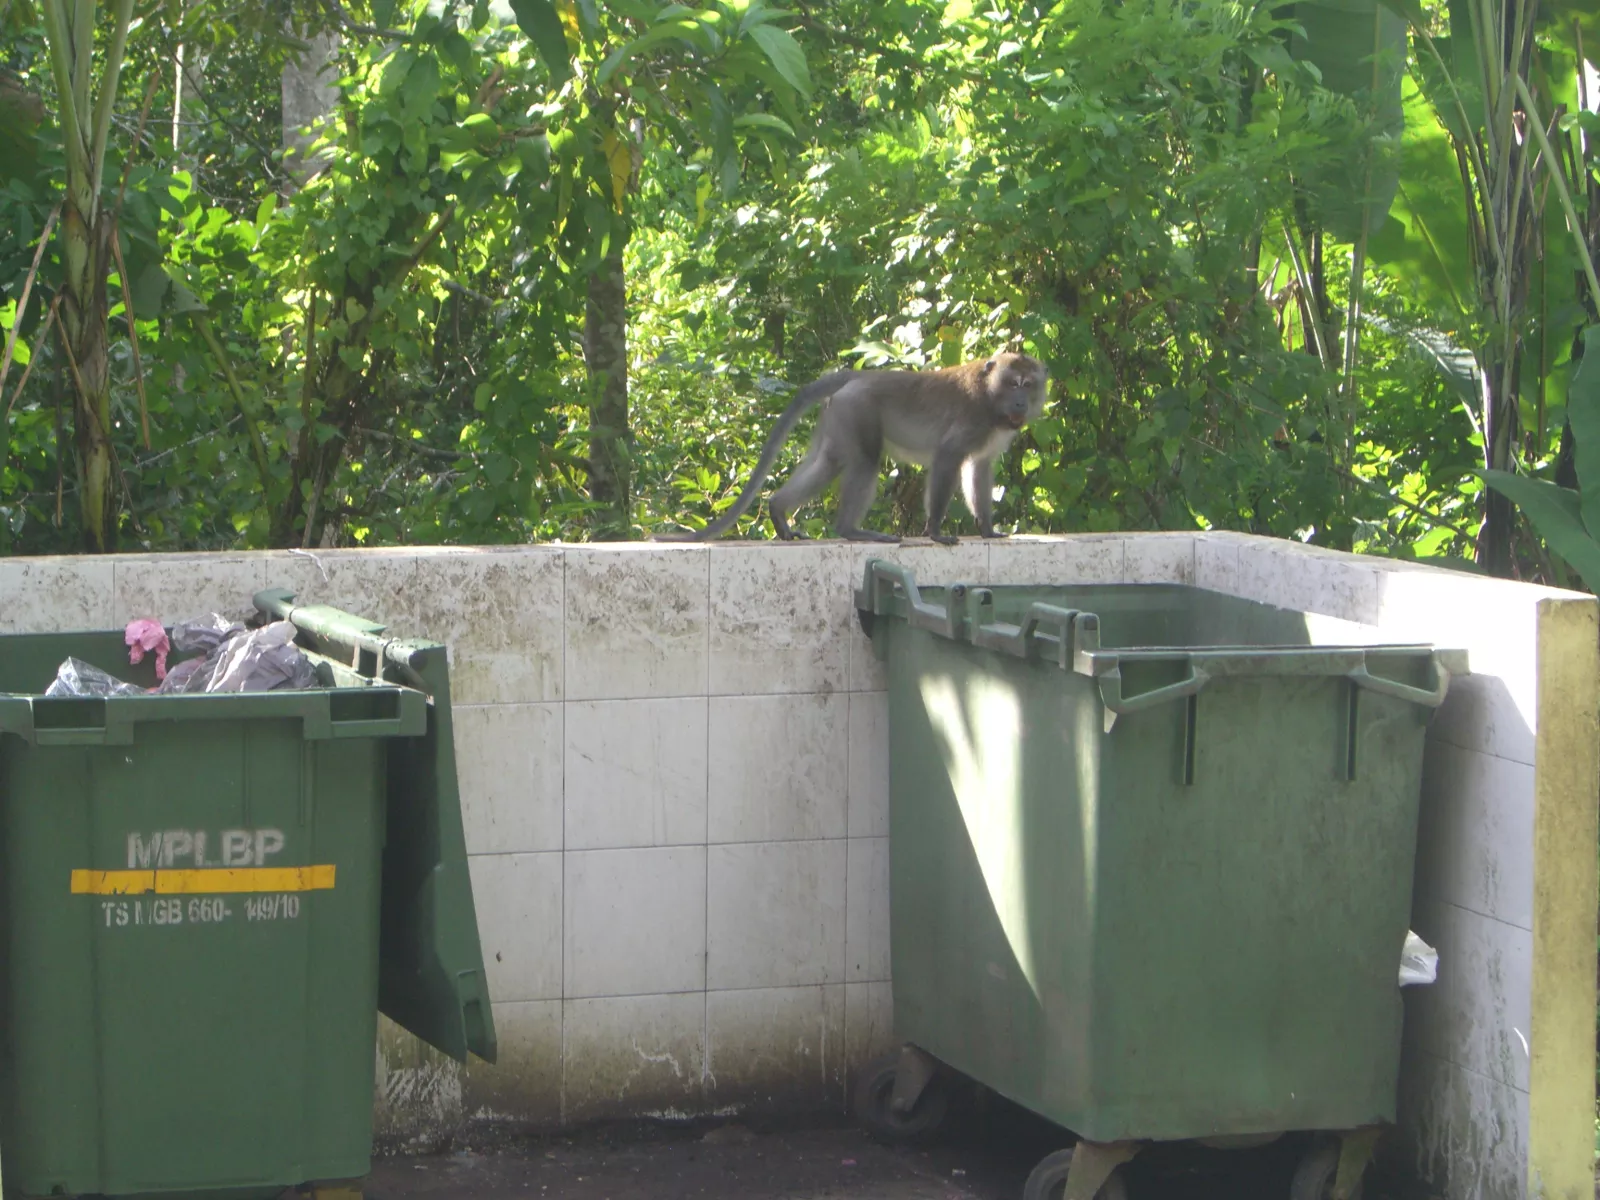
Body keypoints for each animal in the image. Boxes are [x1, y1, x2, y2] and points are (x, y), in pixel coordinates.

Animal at [656, 352, 1048, 545]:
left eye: (1028, 385)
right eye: (1013, 383)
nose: (1020, 404)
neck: (991, 400)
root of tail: (858, 375)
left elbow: (979, 468)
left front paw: (987, 529)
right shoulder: (972, 423)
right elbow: (948, 458)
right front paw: (935, 531)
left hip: (839, 414)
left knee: (830, 462)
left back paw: (778, 511)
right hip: (858, 409)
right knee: (866, 461)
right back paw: (850, 530)